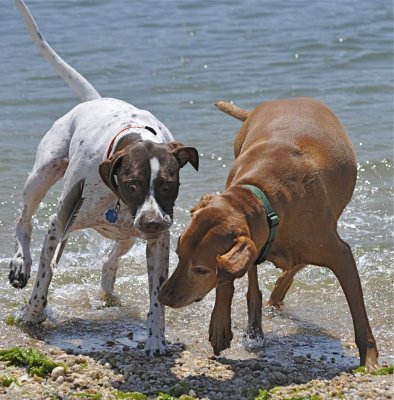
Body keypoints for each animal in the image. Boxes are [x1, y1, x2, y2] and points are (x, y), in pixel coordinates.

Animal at [9, 0, 199, 356]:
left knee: (109, 261)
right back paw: (19, 263)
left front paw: (155, 339)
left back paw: (109, 296)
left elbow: (156, 298)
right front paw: (32, 313)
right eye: (132, 184)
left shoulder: (157, 241)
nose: (153, 222)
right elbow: (44, 275)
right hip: (43, 173)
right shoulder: (58, 225)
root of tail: (96, 100)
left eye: (168, 185)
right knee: (23, 221)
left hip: (127, 235)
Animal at [160, 96, 378, 368]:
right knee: (256, 286)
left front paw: (369, 358)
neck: (262, 196)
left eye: (200, 270)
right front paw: (220, 325)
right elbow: (228, 280)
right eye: (178, 256)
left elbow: (358, 312)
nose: (162, 297)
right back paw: (256, 322)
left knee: (293, 265)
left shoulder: (340, 254)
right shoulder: (252, 242)